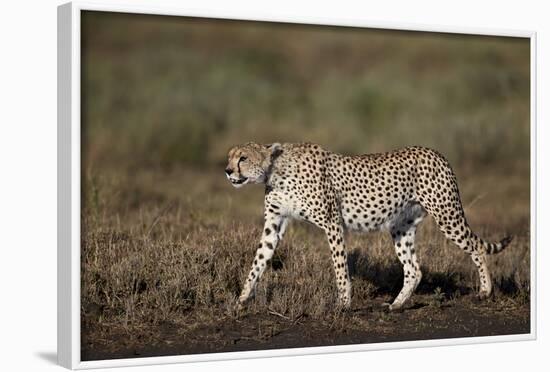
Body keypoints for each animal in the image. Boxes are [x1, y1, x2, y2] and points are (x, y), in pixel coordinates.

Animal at [224, 142, 512, 310]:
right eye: (230, 158)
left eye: (243, 158)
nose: (227, 171)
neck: (275, 171)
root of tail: (435, 152)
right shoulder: (274, 224)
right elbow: (258, 262)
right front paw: (241, 300)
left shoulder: (332, 223)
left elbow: (340, 267)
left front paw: (343, 304)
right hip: (401, 227)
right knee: (414, 269)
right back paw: (397, 304)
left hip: (446, 214)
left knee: (476, 247)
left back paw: (485, 291)